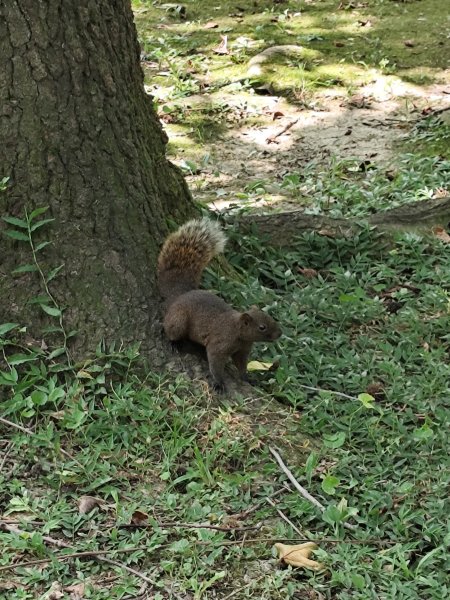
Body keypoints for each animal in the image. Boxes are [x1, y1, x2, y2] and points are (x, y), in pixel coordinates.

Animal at [156, 218, 280, 392]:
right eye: (262, 327)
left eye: (270, 317)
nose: (280, 333)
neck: (237, 332)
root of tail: (179, 295)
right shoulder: (219, 344)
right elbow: (215, 363)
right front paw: (219, 383)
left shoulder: (242, 350)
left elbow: (241, 365)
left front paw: (247, 378)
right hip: (178, 320)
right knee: (170, 329)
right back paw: (174, 343)